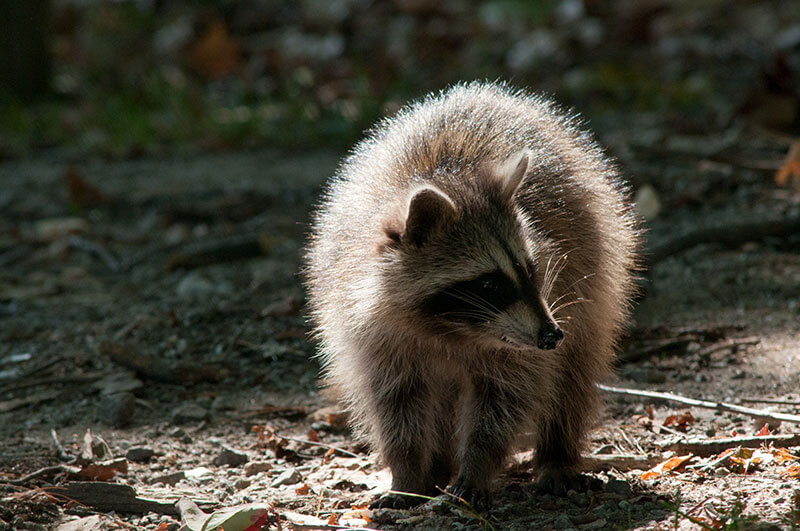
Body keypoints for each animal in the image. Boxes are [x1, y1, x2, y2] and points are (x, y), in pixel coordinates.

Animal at [304, 82, 639, 509]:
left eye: (531, 270)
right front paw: (407, 471)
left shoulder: (525, 332)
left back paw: (556, 454)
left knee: (573, 376)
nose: (551, 335)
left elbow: (505, 397)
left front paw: (476, 465)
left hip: (593, 274)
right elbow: (396, 403)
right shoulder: (369, 327)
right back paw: (437, 466)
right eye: (489, 284)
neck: (451, 328)